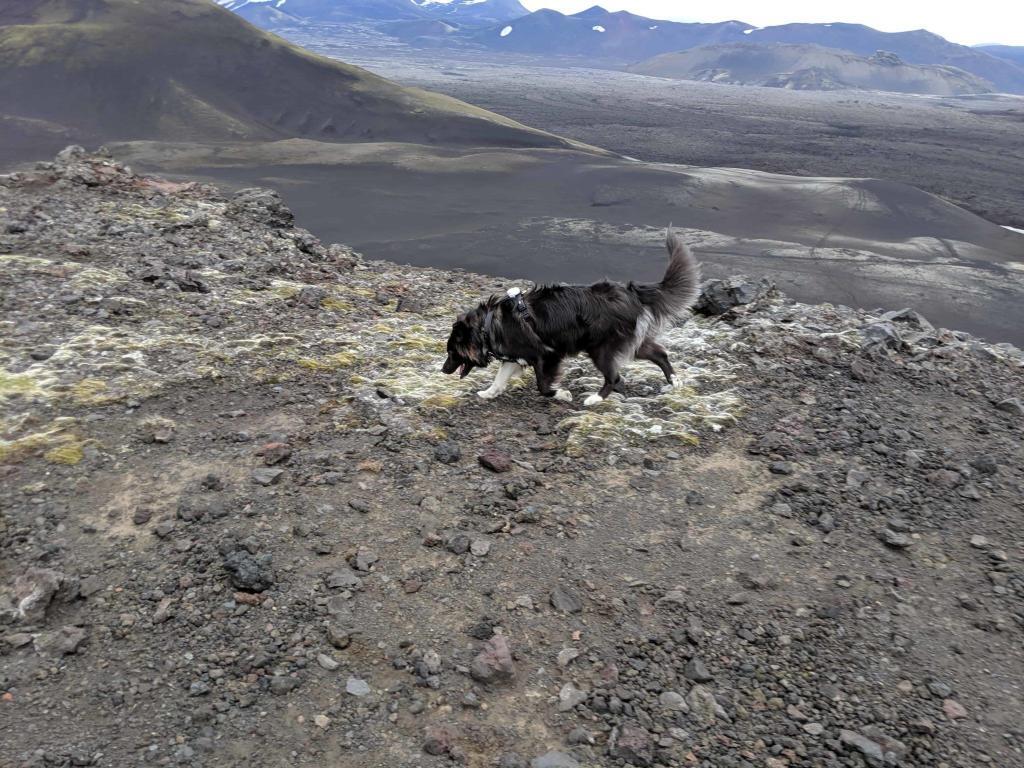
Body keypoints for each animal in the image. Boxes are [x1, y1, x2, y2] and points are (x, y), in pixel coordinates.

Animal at [440, 228, 704, 405]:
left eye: (451, 352)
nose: (443, 370)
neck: (486, 326)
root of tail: (630, 291)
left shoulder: (547, 355)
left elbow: (543, 386)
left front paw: (562, 394)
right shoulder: (516, 357)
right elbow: (499, 379)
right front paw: (488, 393)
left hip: (601, 348)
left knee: (614, 377)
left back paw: (595, 399)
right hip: (631, 341)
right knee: (659, 353)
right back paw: (674, 381)